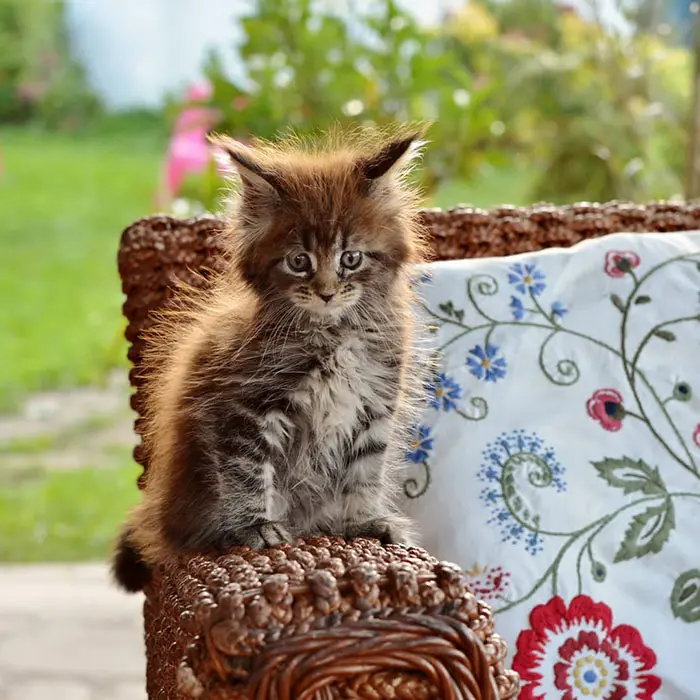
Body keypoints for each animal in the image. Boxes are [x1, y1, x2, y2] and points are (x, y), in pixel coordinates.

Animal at [113, 124, 430, 592]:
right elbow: (247, 471)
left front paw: (363, 521)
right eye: (299, 261)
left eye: (351, 258)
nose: (326, 292)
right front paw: (257, 527)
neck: (333, 333)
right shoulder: (244, 406)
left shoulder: (375, 402)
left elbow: (365, 468)